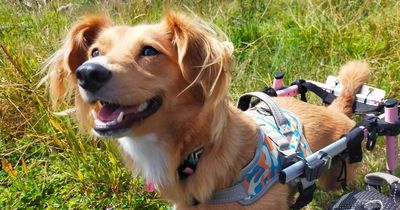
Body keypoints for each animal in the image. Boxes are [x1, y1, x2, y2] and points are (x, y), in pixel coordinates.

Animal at [45, 10, 370, 209]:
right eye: (94, 52)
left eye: (149, 51)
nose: (87, 73)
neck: (197, 151)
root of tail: (337, 110)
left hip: (337, 176)